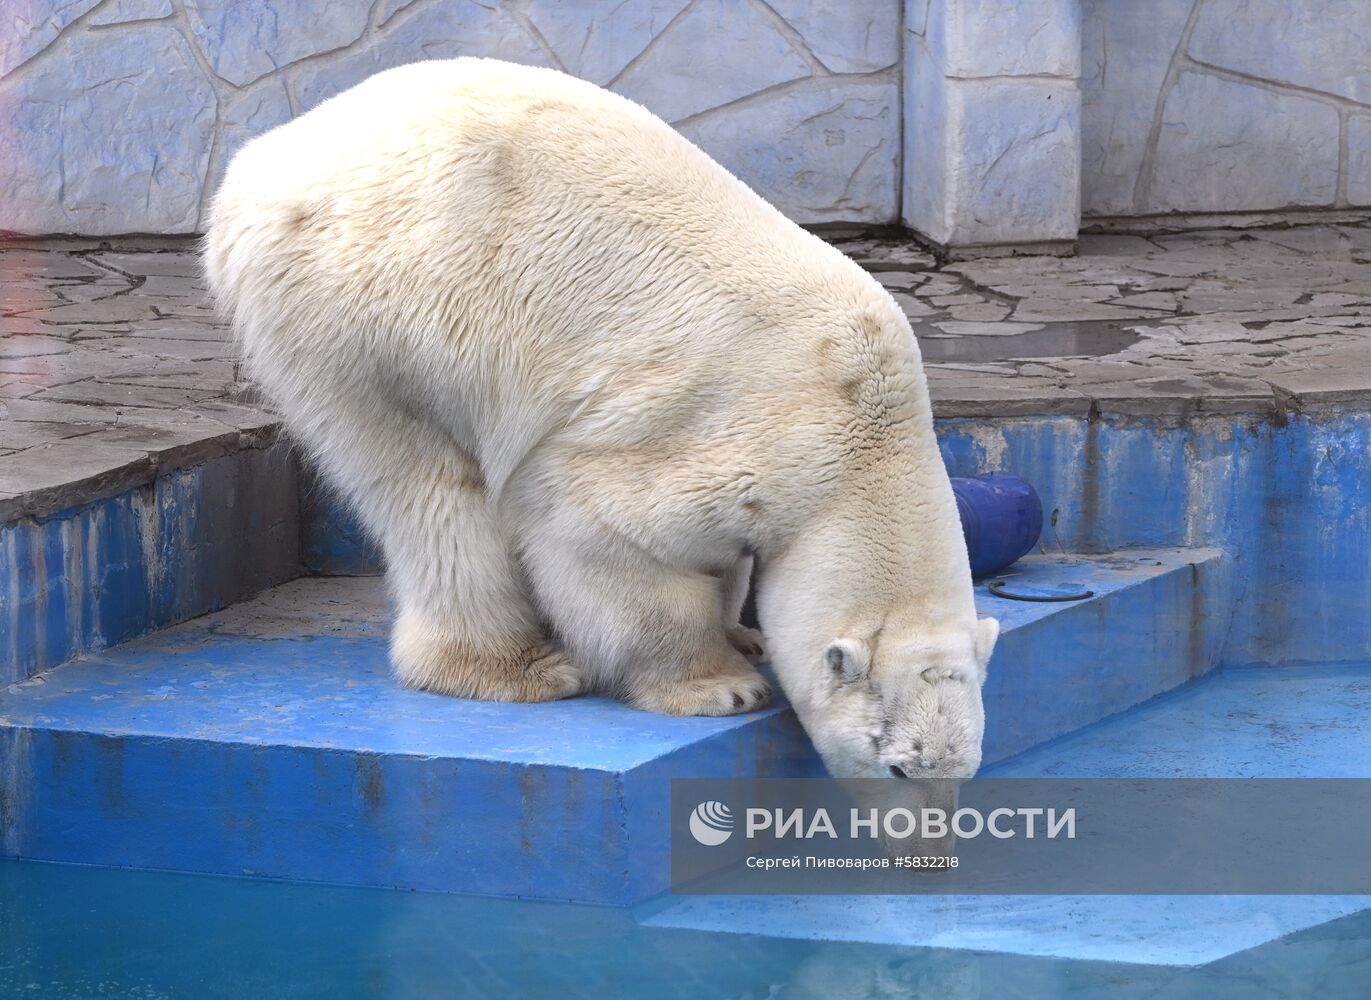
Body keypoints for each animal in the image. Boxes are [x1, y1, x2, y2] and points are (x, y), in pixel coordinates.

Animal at [205, 58, 998, 784]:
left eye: (961, 767)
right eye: (898, 766)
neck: (866, 426)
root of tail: (257, 165)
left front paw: (742, 637)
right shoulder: (725, 432)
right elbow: (601, 533)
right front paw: (718, 684)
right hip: (370, 313)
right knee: (428, 488)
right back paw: (515, 668)